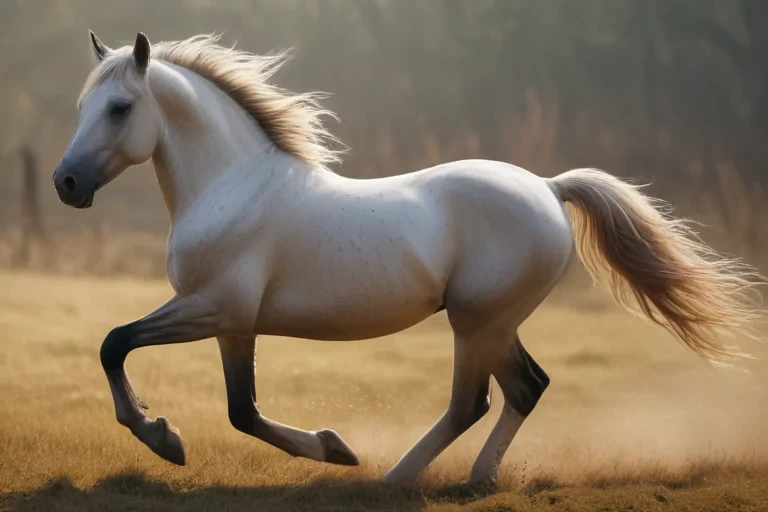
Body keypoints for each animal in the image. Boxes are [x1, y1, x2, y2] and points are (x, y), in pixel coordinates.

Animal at [52, 31, 762, 486]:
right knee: (526, 387)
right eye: (83, 106)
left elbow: (116, 345)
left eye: (120, 108)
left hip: (475, 322)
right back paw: (476, 480)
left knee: (473, 403)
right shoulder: (233, 325)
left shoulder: (211, 308)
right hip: (492, 323)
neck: (232, 185)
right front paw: (325, 447)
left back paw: (395, 479)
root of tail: (549, 187)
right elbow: (240, 409)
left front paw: (167, 440)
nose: (66, 183)